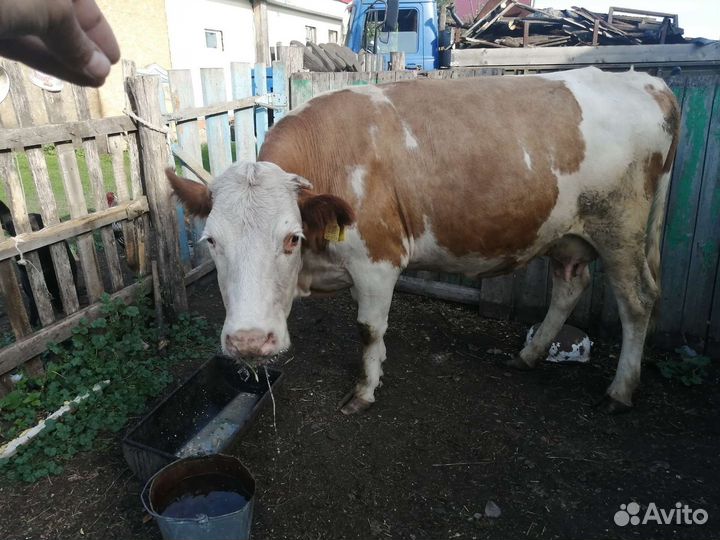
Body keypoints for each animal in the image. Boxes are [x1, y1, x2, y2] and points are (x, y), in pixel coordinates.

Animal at [167, 67, 679, 415]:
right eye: (211, 241)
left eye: (292, 238)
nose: (249, 342)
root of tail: (648, 82)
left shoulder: (378, 259)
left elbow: (368, 329)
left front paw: (364, 390)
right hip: (569, 233)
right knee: (570, 285)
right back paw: (528, 355)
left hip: (621, 229)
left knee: (639, 301)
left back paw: (620, 391)